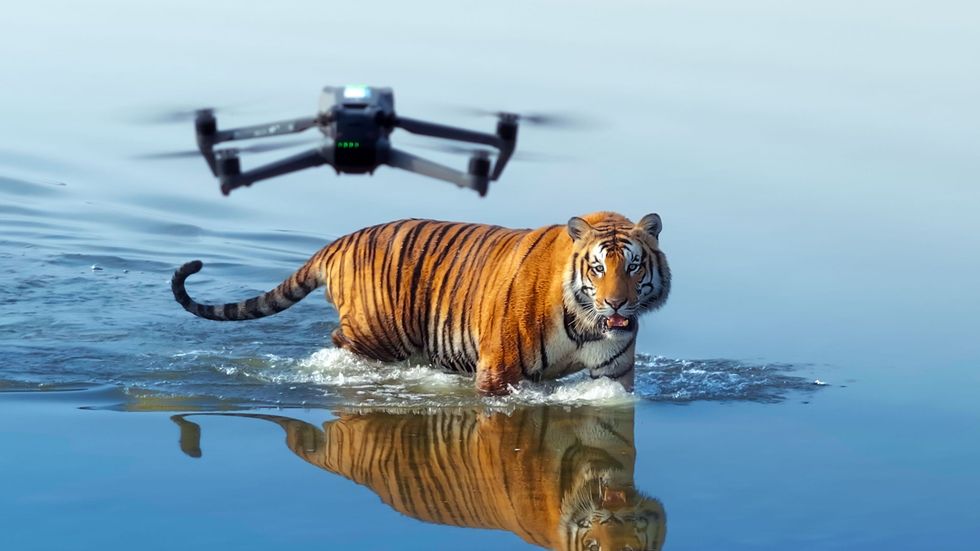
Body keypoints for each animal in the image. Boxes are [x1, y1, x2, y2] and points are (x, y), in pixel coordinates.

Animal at [171, 211, 670, 395]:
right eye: (598, 269)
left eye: (634, 266)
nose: (617, 306)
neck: (585, 320)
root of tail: (338, 242)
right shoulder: (499, 370)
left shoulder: (614, 374)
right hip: (376, 333)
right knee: (338, 341)